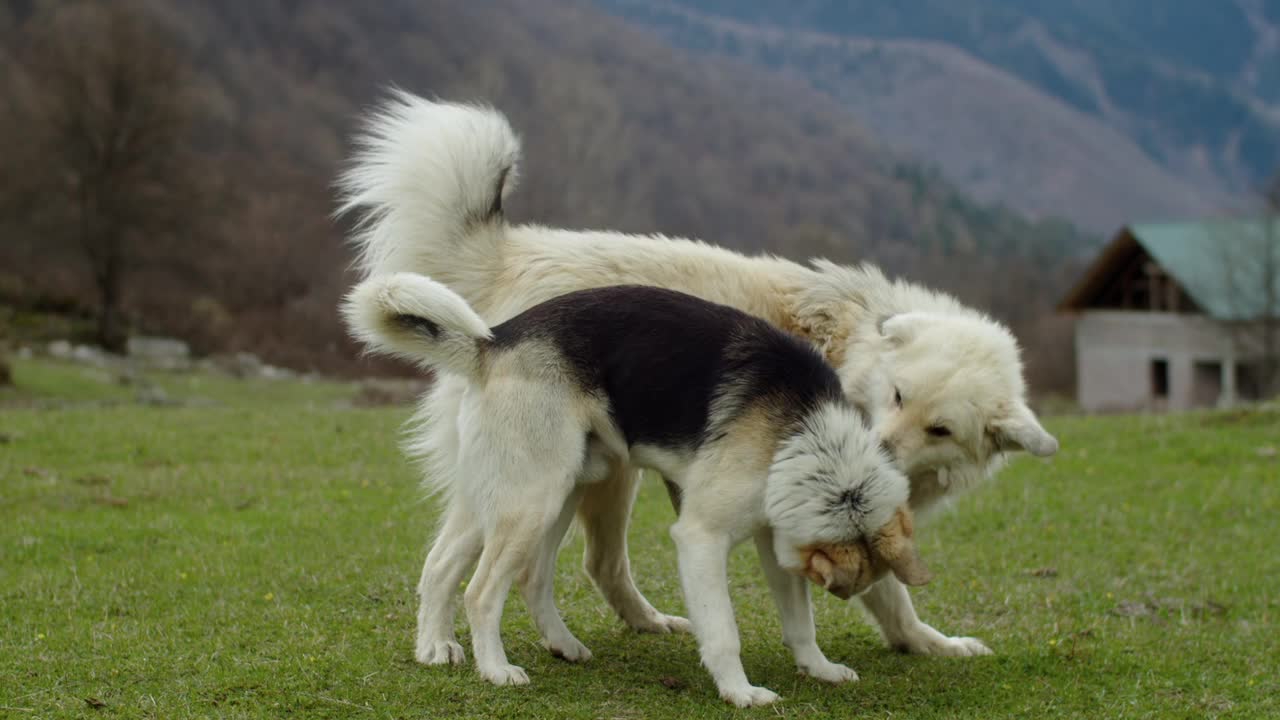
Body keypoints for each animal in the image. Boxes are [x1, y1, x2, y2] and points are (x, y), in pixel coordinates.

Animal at [345, 271, 936, 702]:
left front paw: (819, 668)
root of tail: (492, 341)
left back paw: (447, 647)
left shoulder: (775, 540)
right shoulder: (700, 539)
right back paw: (494, 668)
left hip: (528, 495)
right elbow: (723, 631)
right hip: (531, 500)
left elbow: (800, 623)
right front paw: (740, 692)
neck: (807, 435)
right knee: (482, 590)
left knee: (459, 568)